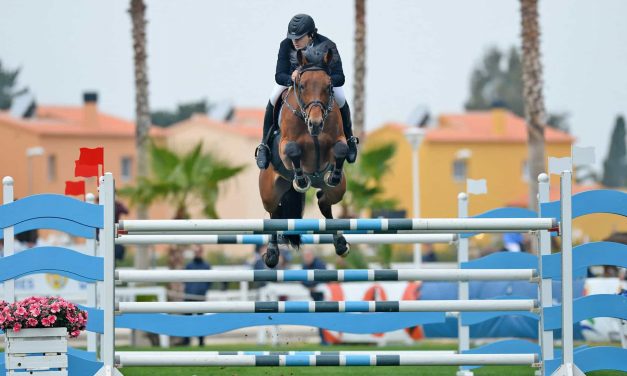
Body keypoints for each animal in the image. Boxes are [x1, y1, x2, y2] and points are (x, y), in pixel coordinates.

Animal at [258, 48, 350, 268]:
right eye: (301, 85)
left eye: (329, 86)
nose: (315, 123)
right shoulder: (284, 147)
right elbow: (293, 150)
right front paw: (300, 180)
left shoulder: (338, 140)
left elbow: (341, 148)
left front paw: (333, 175)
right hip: (269, 193)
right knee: (274, 215)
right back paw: (272, 254)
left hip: (338, 191)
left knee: (324, 202)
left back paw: (340, 243)